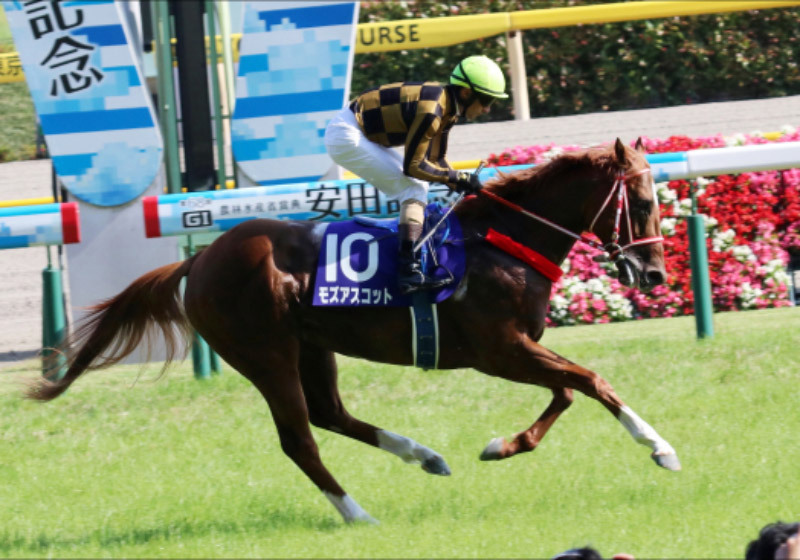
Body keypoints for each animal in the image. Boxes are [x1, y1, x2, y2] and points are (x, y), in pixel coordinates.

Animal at [28, 138, 679, 524]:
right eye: (643, 200)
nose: (653, 273)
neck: (503, 240)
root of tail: (201, 258)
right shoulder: (498, 349)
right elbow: (591, 381)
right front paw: (661, 448)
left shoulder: (515, 349)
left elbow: (567, 390)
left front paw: (502, 445)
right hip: (265, 354)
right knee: (299, 438)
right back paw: (356, 514)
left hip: (313, 348)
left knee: (330, 415)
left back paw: (425, 456)